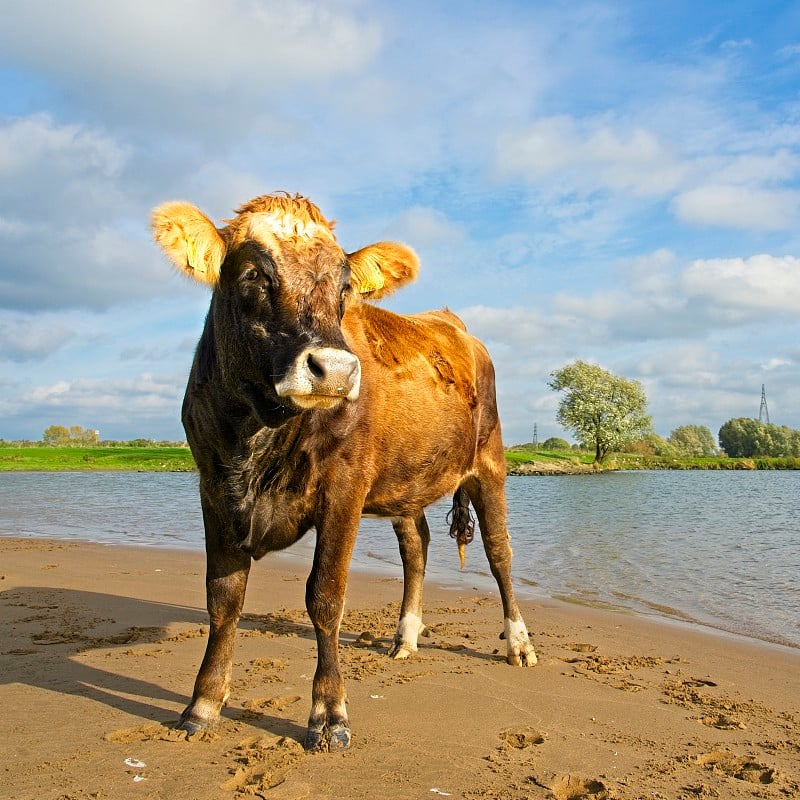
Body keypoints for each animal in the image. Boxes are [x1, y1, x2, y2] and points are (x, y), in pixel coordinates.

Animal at [150, 192, 536, 752]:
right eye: (252, 274)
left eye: (345, 285)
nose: (334, 369)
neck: (256, 434)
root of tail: (453, 324)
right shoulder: (213, 487)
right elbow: (222, 598)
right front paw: (203, 703)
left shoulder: (344, 488)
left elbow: (325, 597)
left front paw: (328, 714)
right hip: (405, 476)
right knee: (416, 547)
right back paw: (406, 636)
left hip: (490, 460)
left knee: (499, 553)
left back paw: (519, 643)